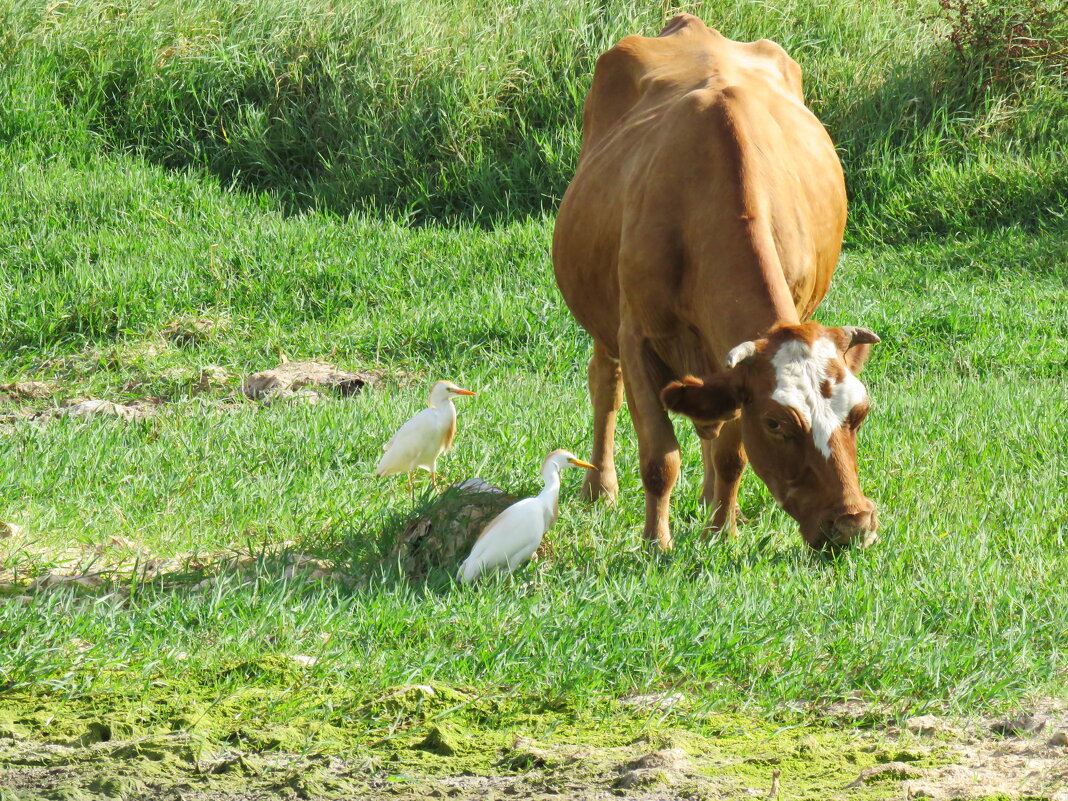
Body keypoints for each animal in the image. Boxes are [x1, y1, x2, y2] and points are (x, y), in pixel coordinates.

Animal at [555, 14, 880, 551]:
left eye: (859, 414)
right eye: (776, 423)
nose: (853, 524)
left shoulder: (739, 365)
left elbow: (732, 453)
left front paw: (720, 532)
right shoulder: (638, 338)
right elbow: (659, 456)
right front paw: (657, 543)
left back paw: (714, 502)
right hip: (601, 315)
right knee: (605, 385)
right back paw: (600, 487)